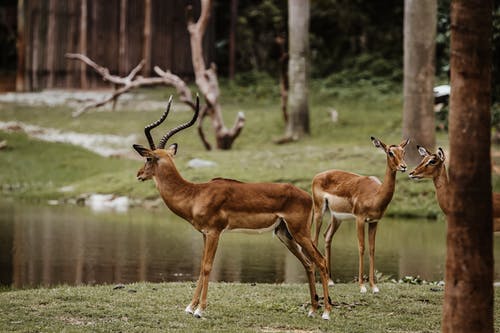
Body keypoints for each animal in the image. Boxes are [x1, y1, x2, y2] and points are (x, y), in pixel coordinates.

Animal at [134, 96, 332, 320]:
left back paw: (326, 313)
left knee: (321, 261)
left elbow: (207, 267)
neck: (194, 194)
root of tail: (307, 195)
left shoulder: (214, 232)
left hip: (299, 233)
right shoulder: (205, 234)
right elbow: (201, 266)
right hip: (285, 234)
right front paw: (190, 307)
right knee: (308, 263)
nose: (139, 174)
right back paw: (312, 310)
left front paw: (200, 310)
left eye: (148, 158)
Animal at [312, 136, 410, 292]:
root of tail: (317, 176)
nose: (404, 166)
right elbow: (361, 247)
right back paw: (317, 281)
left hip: (336, 218)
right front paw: (362, 287)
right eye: (390, 152)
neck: (375, 195)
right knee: (314, 240)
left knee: (327, 237)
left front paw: (374, 287)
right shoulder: (360, 219)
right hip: (319, 211)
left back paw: (330, 281)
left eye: (403, 151)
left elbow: (372, 249)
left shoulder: (374, 222)